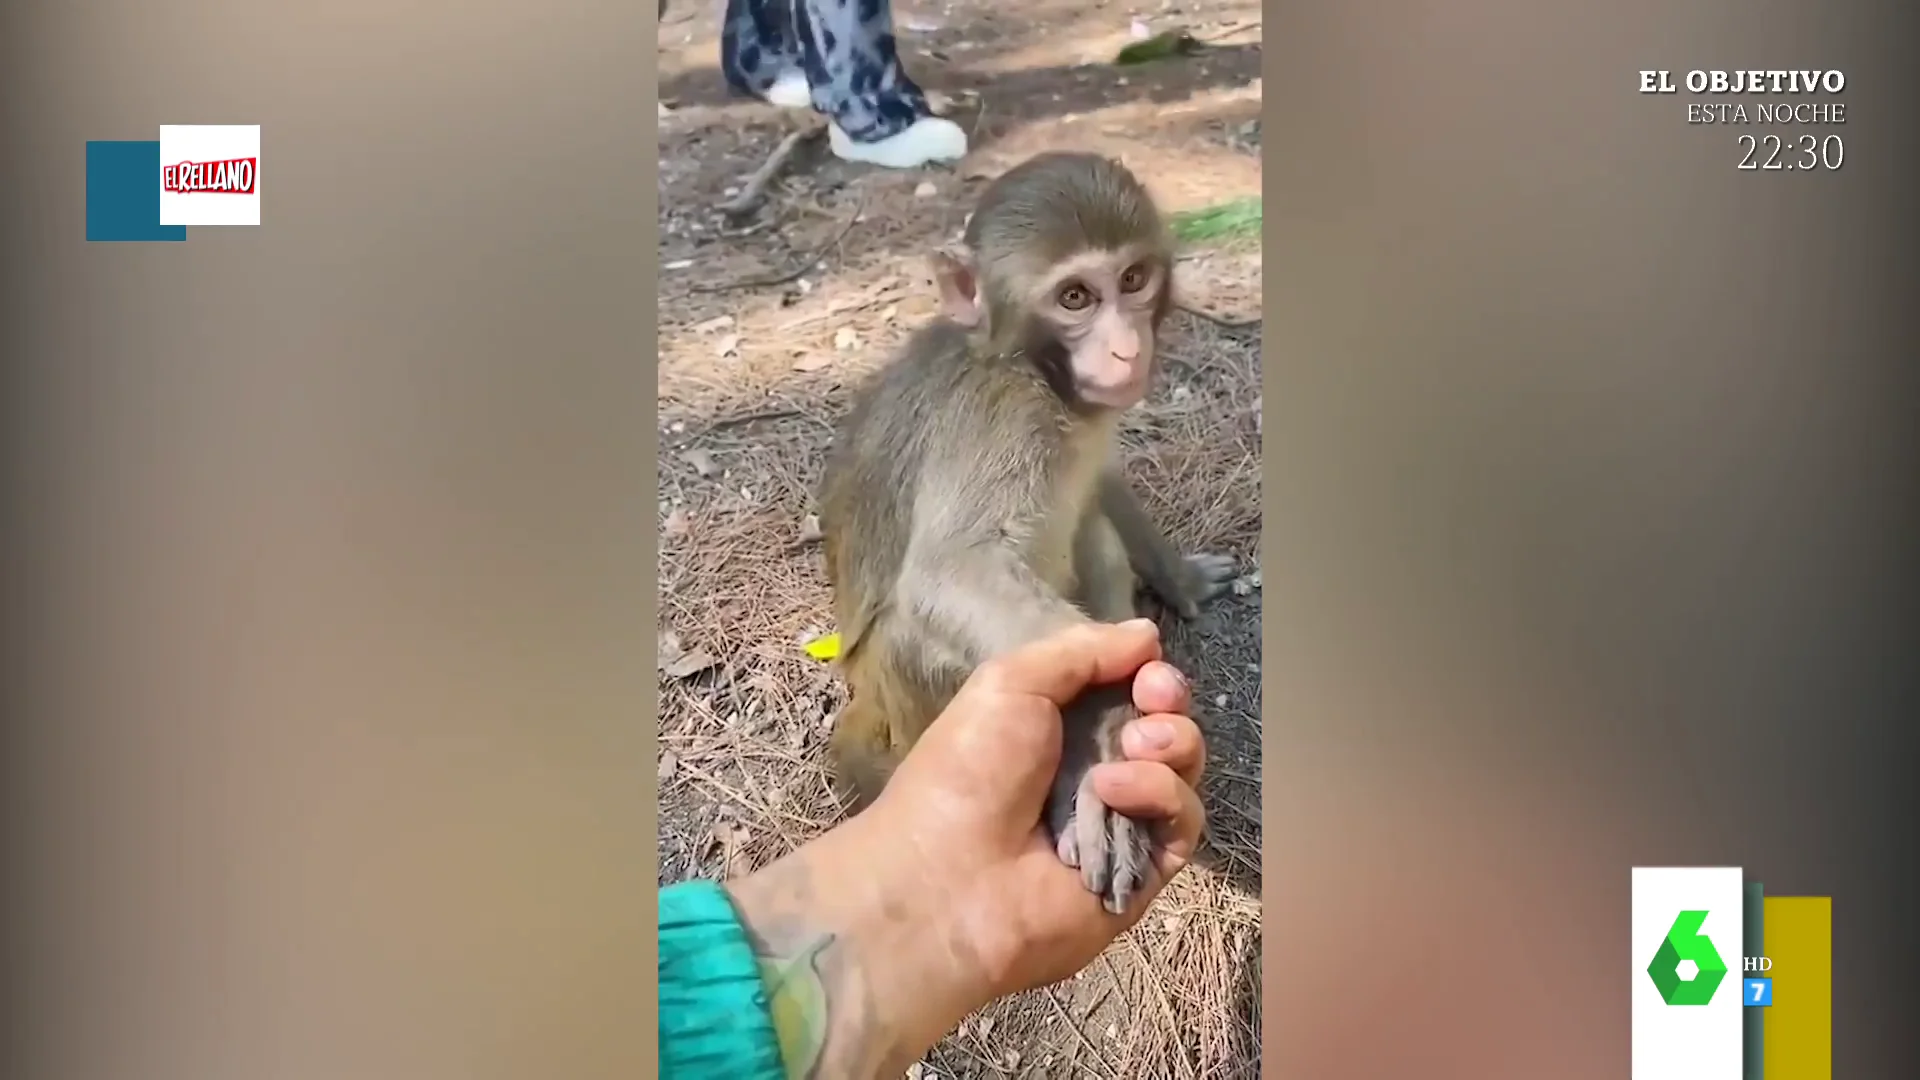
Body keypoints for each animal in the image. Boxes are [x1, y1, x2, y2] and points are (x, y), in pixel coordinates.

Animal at [817, 151, 1236, 907]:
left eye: (1133, 280)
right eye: (1075, 298)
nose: (1126, 351)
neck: (1039, 375)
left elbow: (1100, 485)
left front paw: (1178, 576)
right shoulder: (1000, 418)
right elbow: (952, 572)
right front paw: (1100, 742)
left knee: (1093, 535)